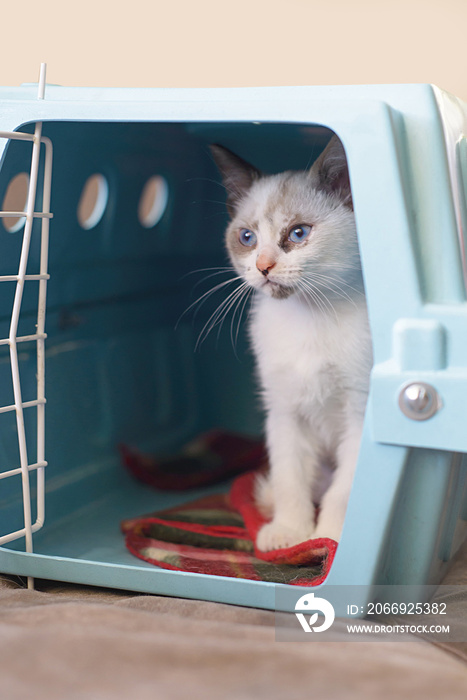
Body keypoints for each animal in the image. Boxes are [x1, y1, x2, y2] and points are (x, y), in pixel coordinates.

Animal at [211, 137, 372, 548]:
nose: (263, 267)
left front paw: (330, 539)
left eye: (298, 233)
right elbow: (290, 478)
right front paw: (291, 534)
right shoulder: (284, 411)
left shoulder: (361, 413)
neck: (309, 318)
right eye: (247, 238)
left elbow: (345, 490)